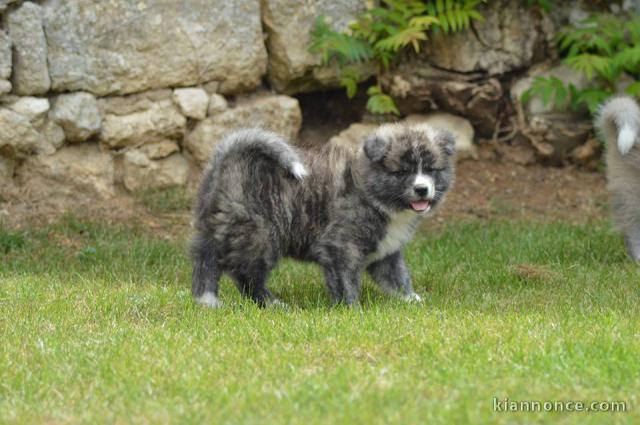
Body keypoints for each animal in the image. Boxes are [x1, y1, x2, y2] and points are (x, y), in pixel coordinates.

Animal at [190, 122, 456, 304]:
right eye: (401, 172)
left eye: (431, 169)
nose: (422, 189)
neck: (371, 190)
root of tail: (227, 160)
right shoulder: (341, 247)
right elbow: (346, 281)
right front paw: (351, 310)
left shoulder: (387, 252)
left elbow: (398, 277)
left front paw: (412, 300)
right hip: (260, 234)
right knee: (246, 274)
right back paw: (271, 303)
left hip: (215, 228)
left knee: (205, 258)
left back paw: (206, 301)